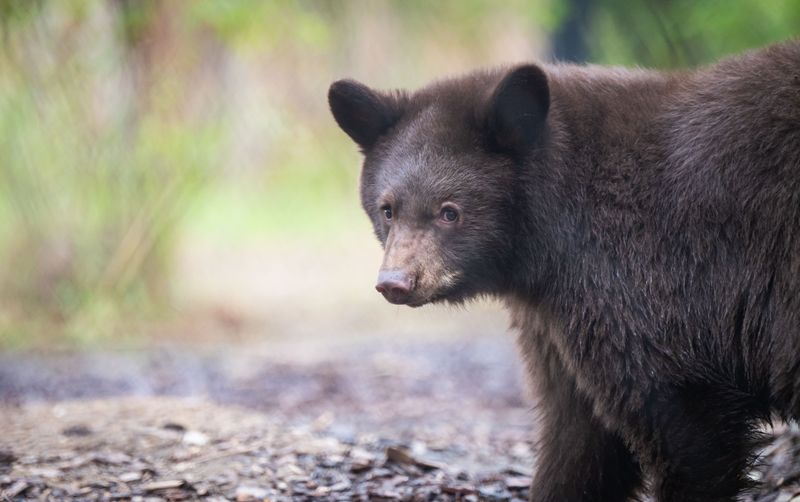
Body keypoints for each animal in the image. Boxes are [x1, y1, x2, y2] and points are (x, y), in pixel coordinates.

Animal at [327, 40, 800, 502]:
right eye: (388, 209)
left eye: (450, 212)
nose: (395, 282)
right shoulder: (555, 321)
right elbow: (577, 436)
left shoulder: (648, 286)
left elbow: (686, 424)